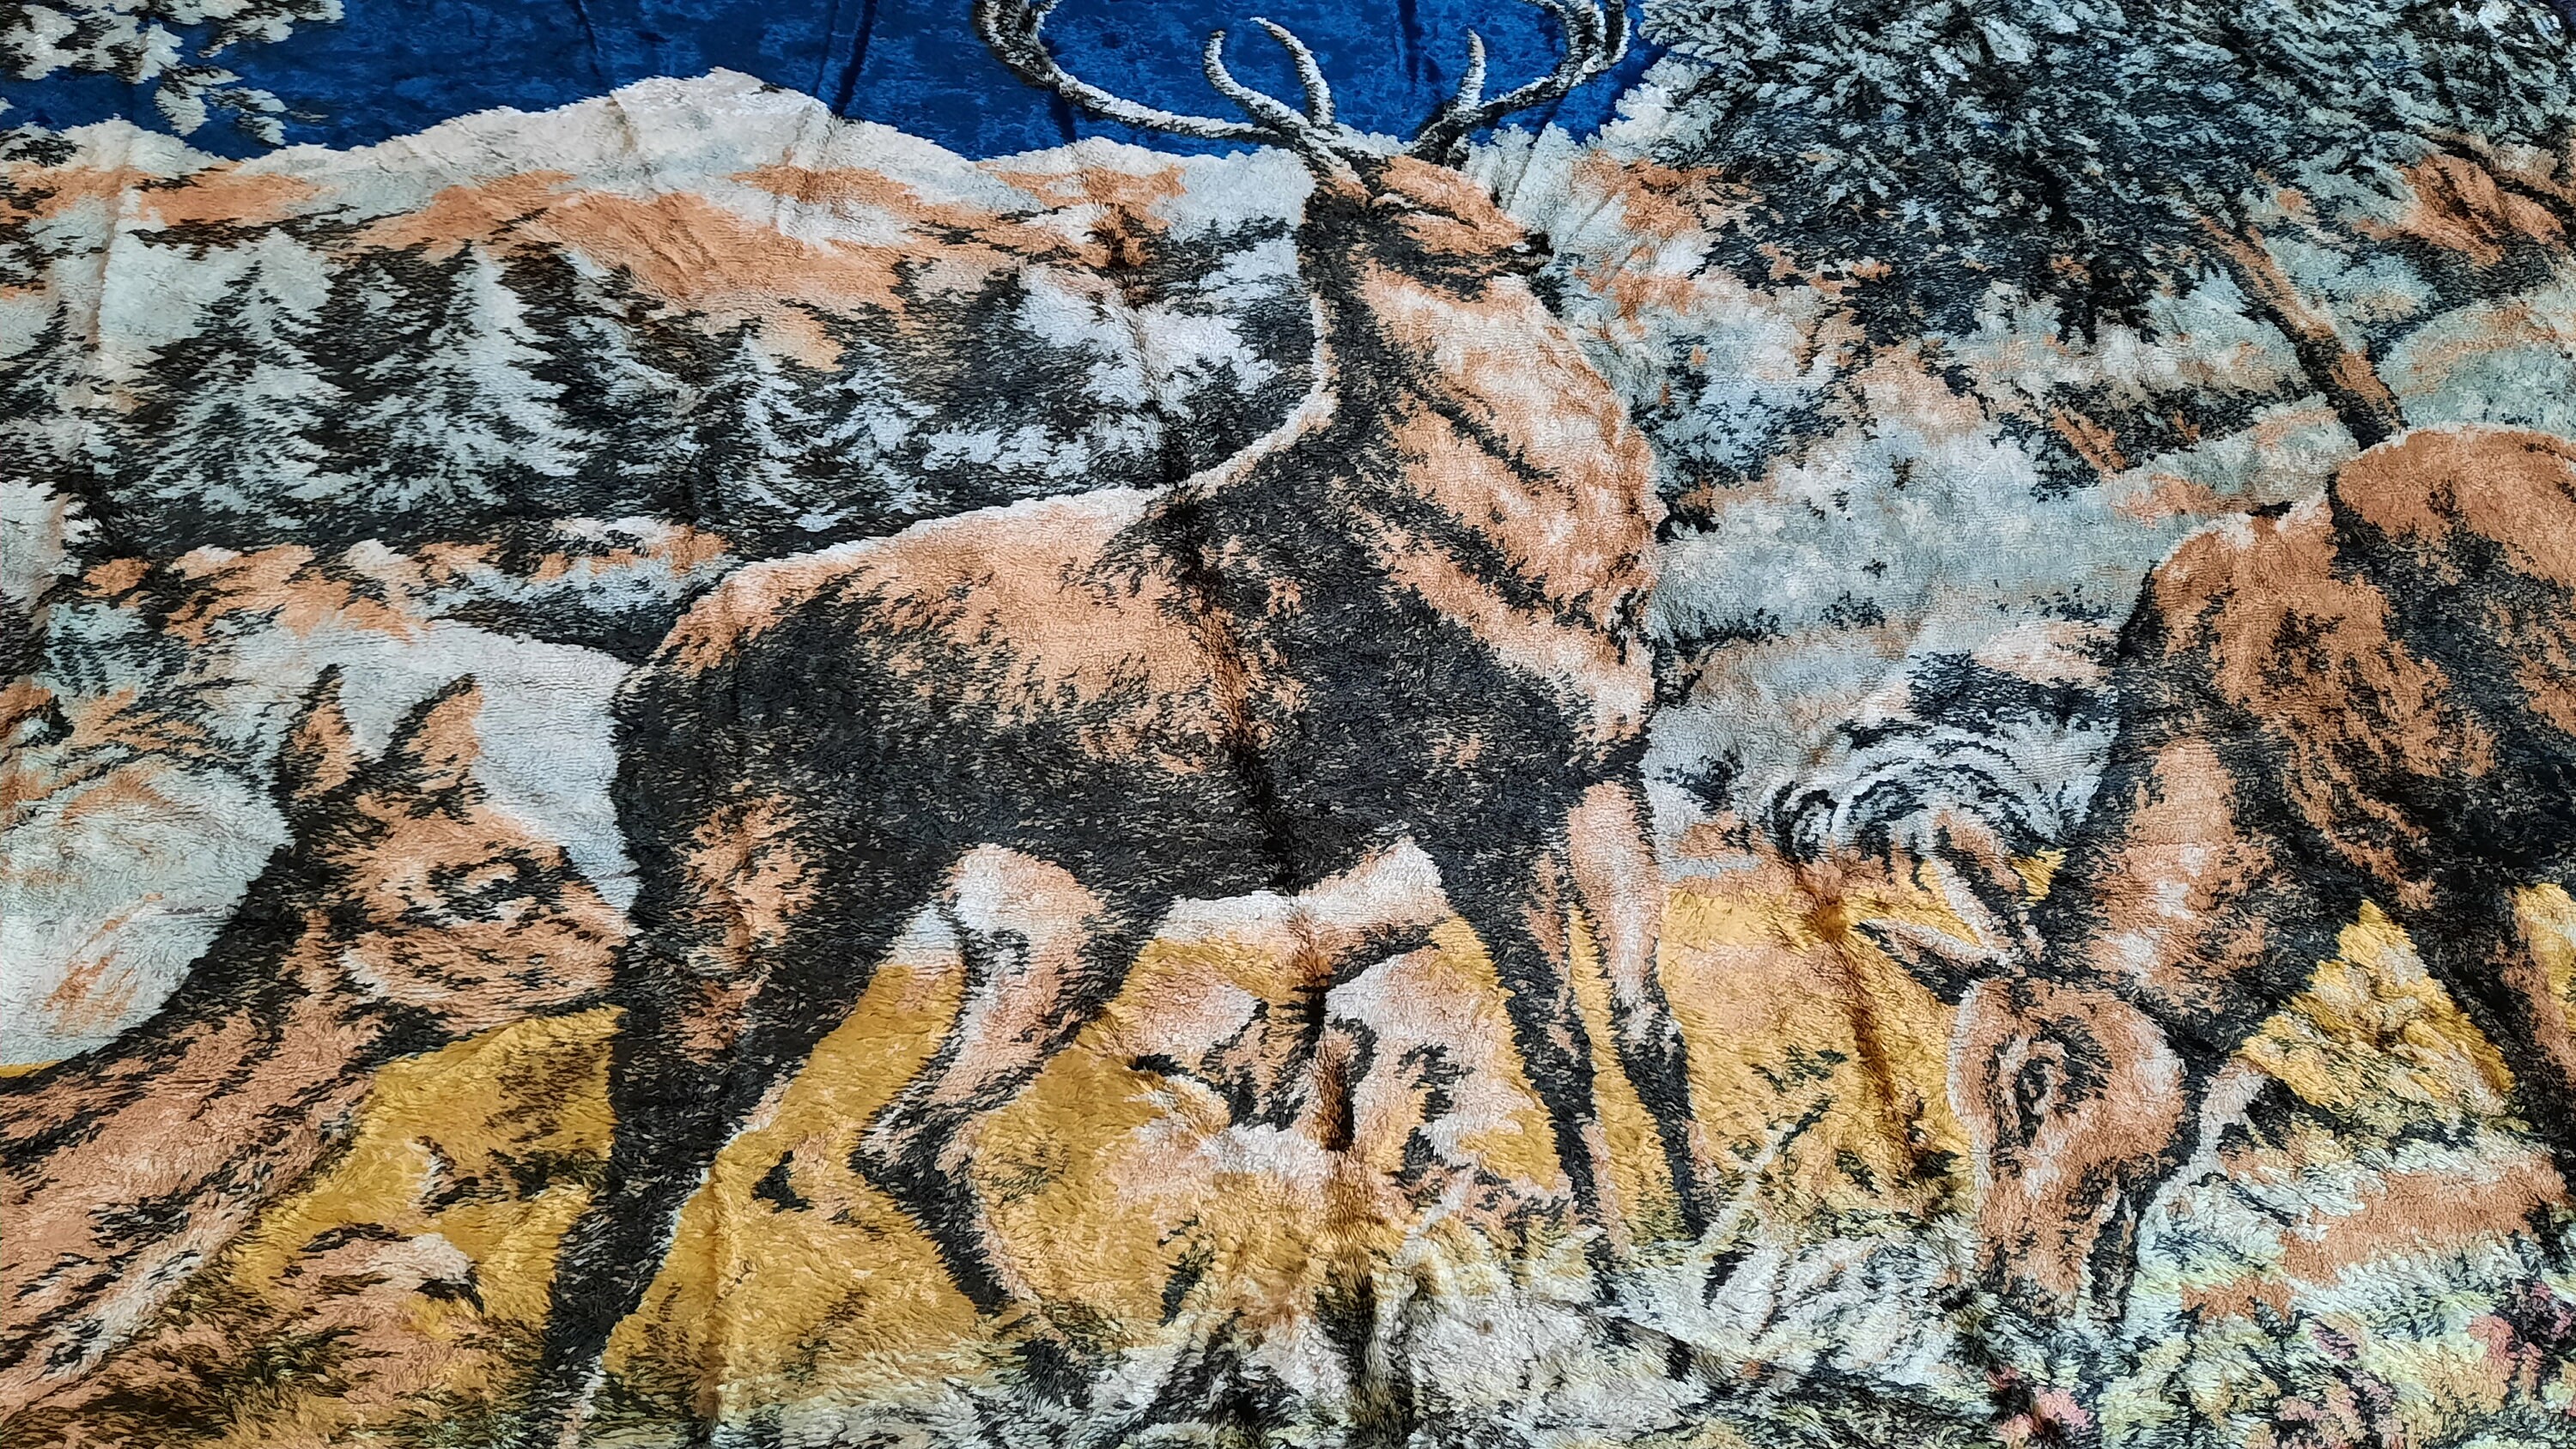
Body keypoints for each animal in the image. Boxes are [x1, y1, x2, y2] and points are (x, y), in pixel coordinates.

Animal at [517, 0, 1723, 1438]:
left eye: (1463, 166)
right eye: (1373, 196)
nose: (1527, 244)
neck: (1544, 563)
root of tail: (642, 692)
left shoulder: (1605, 769)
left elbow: (1652, 1030)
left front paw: (1712, 1255)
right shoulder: (1467, 790)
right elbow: (1560, 1050)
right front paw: (1623, 1302)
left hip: (1042, 908)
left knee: (904, 1139)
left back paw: (1074, 1367)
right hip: (741, 882)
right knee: (636, 1191)